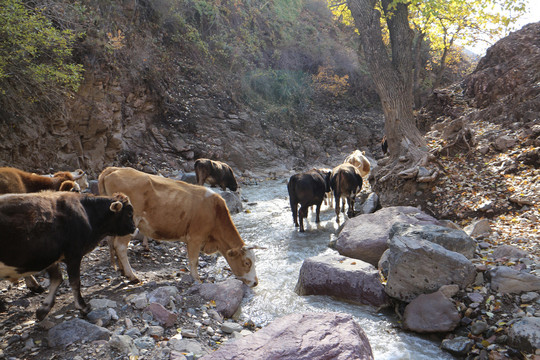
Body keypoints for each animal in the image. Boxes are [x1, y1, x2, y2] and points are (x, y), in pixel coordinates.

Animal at [0, 191, 135, 318]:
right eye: (129, 213)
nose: (134, 228)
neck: (87, 213)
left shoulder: (49, 257)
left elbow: (57, 279)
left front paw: (44, 308)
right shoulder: (73, 255)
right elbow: (75, 282)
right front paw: (83, 306)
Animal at [98, 166, 260, 286]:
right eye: (247, 262)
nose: (256, 283)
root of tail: (113, 169)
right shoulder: (195, 237)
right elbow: (194, 261)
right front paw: (197, 279)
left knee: (112, 243)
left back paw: (122, 271)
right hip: (130, 223)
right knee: (120, 246)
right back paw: (132, 276)